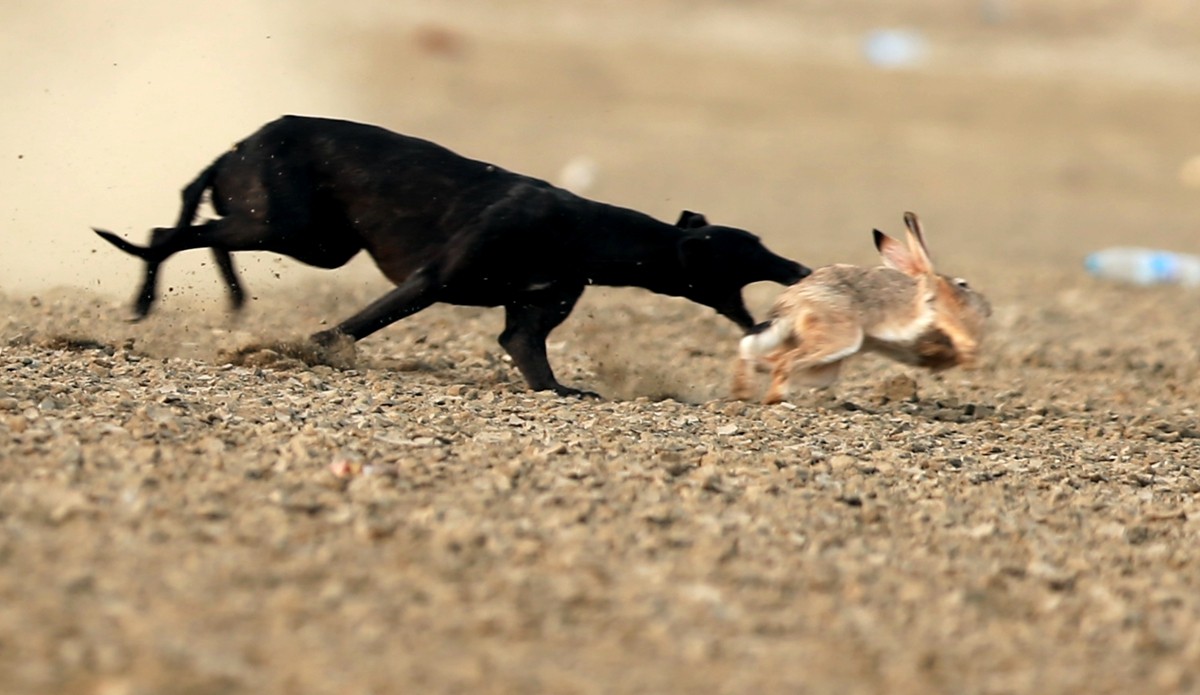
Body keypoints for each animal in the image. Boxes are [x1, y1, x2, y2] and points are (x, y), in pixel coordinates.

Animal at [91, 117, 806, 393]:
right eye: (751, 249)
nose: (801, 269)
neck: (583, 228)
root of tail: (240, 144)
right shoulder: (430, 280)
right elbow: (346, 329)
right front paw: (313, 351)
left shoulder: (529, 317)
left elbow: (531, 357)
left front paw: (564, 391)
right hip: (292, 230)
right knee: (171, 234)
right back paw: (149, 300)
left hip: (312, 240)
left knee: (198, 231)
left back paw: (229, 299)